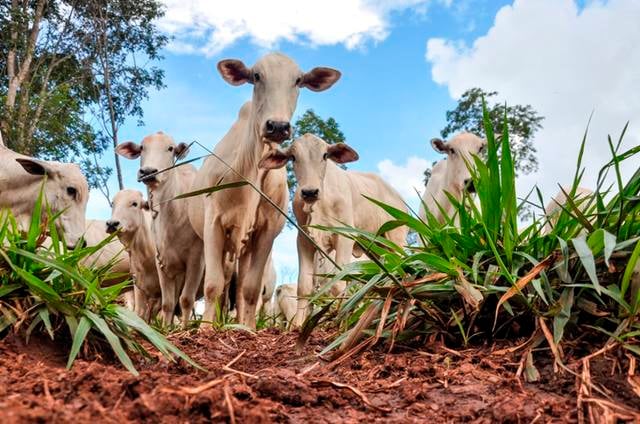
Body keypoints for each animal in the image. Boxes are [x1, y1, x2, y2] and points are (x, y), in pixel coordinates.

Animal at [116, 134, 204, 326]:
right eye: (142, 148)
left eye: (170, 148)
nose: (148, 171)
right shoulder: (162, 262)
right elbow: (168, 303)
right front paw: (166, 329)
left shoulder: (196, 259)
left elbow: (186, 300)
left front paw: (184, 329)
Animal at [188, 50, 342, 328]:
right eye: (257, 76)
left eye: (298, 80)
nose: (278, 126)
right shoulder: (213, 224)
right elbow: (213, 285)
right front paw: (205, 329)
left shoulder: (267, 231)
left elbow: (250, 288)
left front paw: (247, 328)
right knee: (223, 283)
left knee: (239, 288)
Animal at [262, 134, 408, 326]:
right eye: (293, 157)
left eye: (325, 155)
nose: (310, 192)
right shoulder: (304, 239)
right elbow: (304, 286)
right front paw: (298, 324)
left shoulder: (345, 236)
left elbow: (339, 283)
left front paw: (340, 321)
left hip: (395, 238)